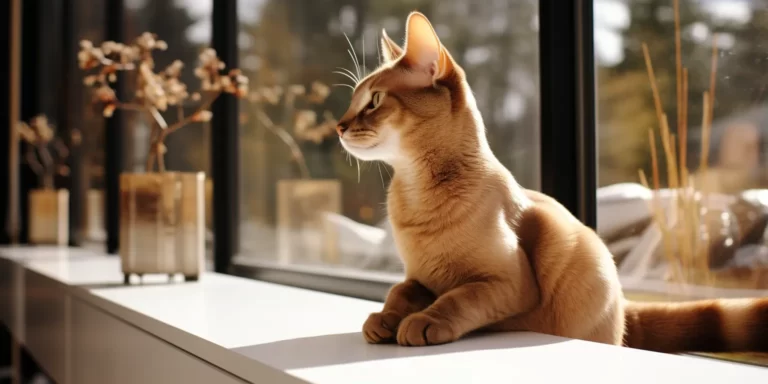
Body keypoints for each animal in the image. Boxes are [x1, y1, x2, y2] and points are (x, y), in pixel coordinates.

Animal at [338, 11, 768, 354]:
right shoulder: (419, 277)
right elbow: (399, 290)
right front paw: (384, 319)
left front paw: (421, 322)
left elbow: (456, 298)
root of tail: (625, 309)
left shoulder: (506, 282)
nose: (339, 125)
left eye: (373, 102)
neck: (414, 195)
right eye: (353, 102)